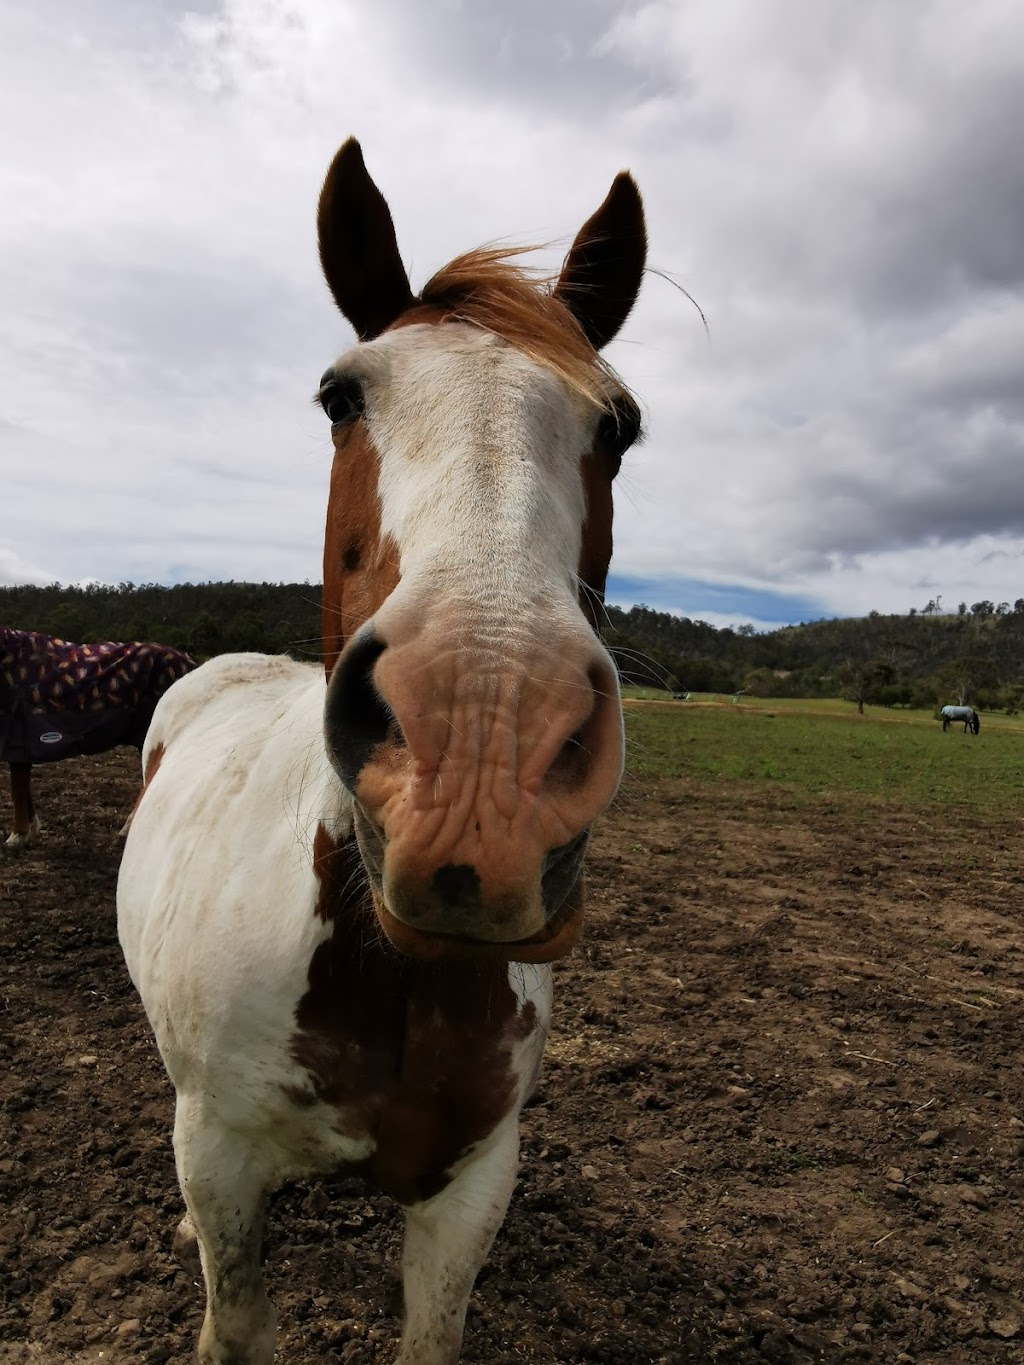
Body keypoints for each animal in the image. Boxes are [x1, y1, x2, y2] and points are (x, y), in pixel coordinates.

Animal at [0, 625, 193, 840]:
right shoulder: (23, 746)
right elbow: (24, 788)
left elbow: (17, 789)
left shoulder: (18, 740)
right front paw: (32, 829)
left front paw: (18, 835)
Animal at [118, 138, 649, 1365]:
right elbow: (235, 1322)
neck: (381, 973)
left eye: (620, 425)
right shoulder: (220, 1161)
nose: (479, 758)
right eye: (339, 396)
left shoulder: (472, 1188)